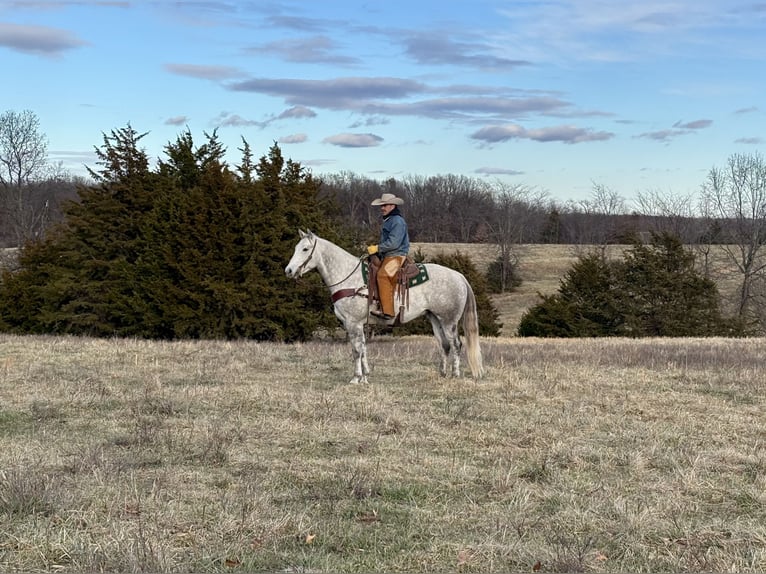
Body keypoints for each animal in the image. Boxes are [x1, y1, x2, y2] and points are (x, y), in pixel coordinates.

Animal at [284, 231, 484, 388]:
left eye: (305, 249)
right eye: (295, 248)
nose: (289, 271)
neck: (348, 277)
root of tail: (459, 276)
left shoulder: (353, 323)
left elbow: (356, 350)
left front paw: (356, 378)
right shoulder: (359, 324)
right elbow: (363, 347)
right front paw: (365, 377)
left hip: (449, 320)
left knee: (456, 344)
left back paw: (455, 375)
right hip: (435, 318)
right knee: (444, 344)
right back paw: (442, 374)